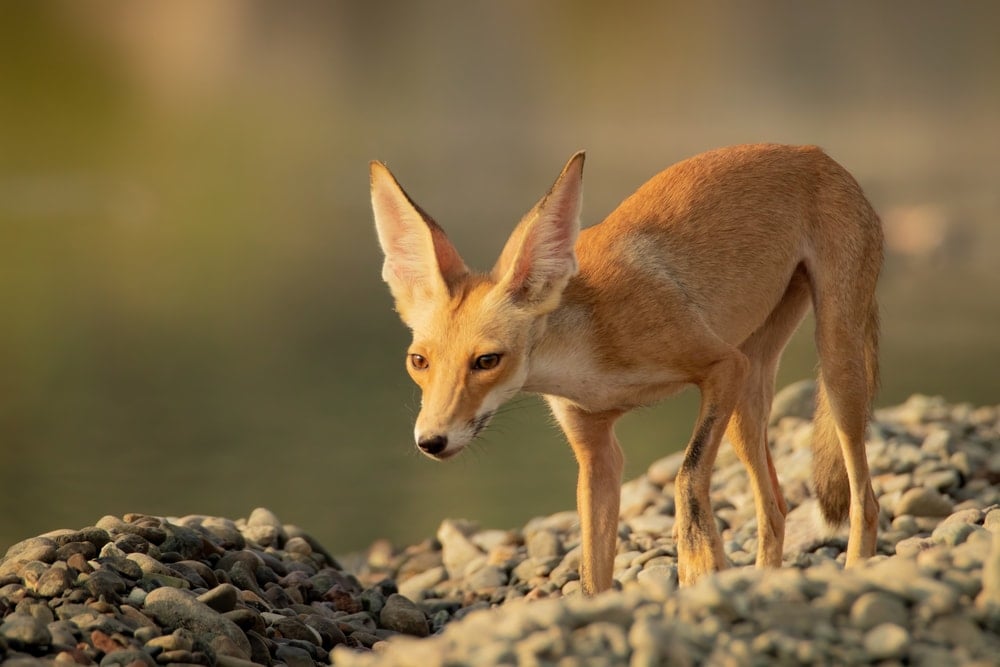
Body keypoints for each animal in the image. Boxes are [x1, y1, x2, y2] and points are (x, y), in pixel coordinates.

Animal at [370, 144, 882, 595]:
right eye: (419, 361)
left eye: (487, 361)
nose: (431, 441)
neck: (590, 357)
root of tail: (813, 152)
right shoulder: (597, 452)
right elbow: (591, 574)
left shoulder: (721, 367)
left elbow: (686, 478)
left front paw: (699, 564)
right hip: (748, 400)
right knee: (775, 509)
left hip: (833, 364)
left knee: (865, 500)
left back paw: (857, 570)